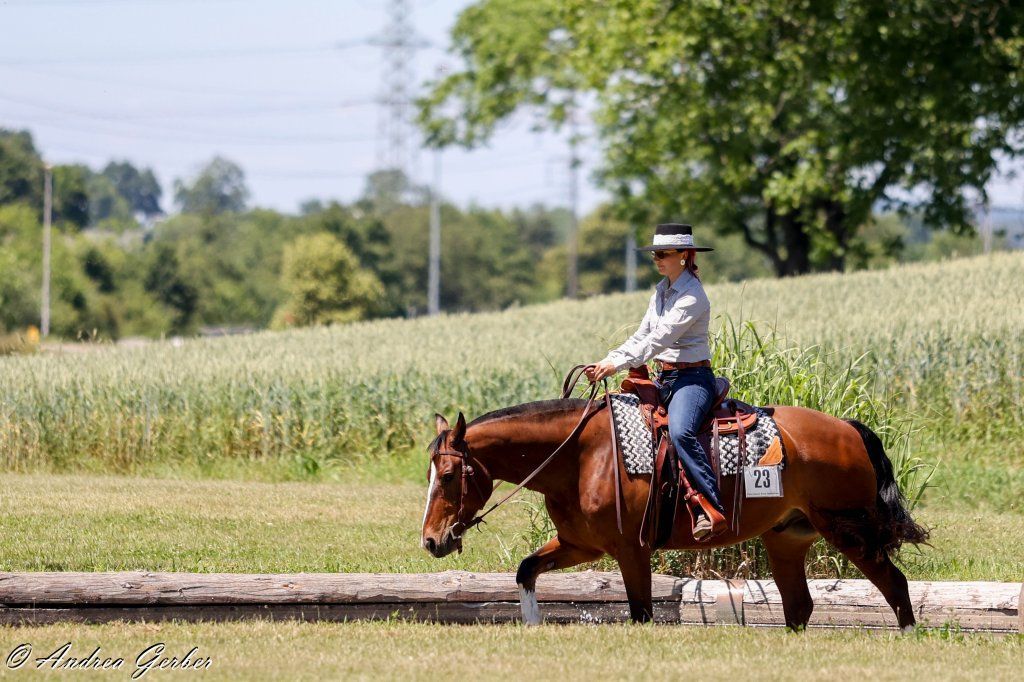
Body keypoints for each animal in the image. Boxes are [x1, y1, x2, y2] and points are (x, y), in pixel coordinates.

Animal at [420, 387, 929, 630]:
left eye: (448, 476)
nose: (431, 540)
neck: (580, 456)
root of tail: (847, 428)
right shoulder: (579, 545)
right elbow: (527, 570)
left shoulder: (631, 549)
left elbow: (642, 611)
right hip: (787, 537)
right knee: (799, 606)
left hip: (850, 529)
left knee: (894, 584)